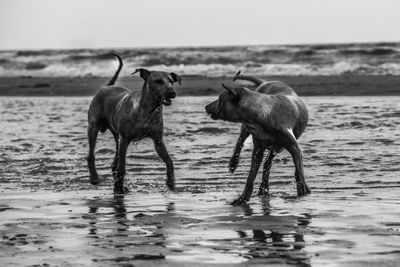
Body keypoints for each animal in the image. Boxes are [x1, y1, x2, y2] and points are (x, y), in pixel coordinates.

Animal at [87, 54, 183, 197]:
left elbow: (169, 161)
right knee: (91, 154)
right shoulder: (125, 139)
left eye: (172, 81)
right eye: (158, 81)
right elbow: (122, 167)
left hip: (116, 136)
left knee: (114, 162)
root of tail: (106, 87)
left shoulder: (158, 140)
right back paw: (95, 178)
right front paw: (118, 190)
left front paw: (170, 182)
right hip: (93, 126)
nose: (172, 93)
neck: (148, 110)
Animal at [205, 70, 310, 205]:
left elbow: (299, 169)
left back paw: (264, 188)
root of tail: (266, 82)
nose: (206, 106)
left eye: (219, 99)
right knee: (240, 142)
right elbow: (251, 176)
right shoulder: (258, 149)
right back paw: (234, 163)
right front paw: (243, 198)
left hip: (277, 148)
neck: (263, 113)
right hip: (247, 130)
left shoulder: (293, 147)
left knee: (267, 164)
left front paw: (303, 188)